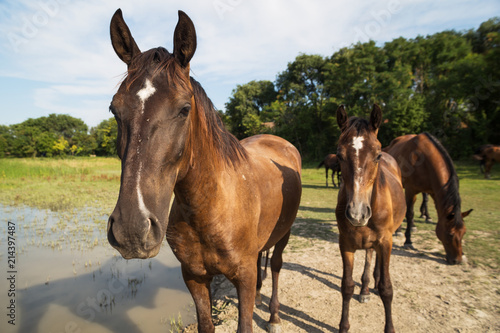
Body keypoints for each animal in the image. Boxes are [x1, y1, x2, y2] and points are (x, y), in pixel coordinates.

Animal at [106, 9, 300, 330]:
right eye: (114, 110)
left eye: (185, 109)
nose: (132, 230)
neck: (209, 208)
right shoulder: (194, 278)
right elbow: (206, 323)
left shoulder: (244, 278)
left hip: (284, 235)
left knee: (275, 265)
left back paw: (273, 316)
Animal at [334, 104, 404, 332]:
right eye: (339, 155)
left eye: (377, 155)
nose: (357, 213)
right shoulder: (345, 243)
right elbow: (346, 286)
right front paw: (343, 326)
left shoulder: (386, 240)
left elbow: (387, 289)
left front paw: (389, 328)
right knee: (369, 255)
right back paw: (364, 289)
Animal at [382, 132, 472, 264]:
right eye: (450, 234)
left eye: (464, 232)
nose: (457, 260)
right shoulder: (411, 190)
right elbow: (409, 213)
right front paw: (408, 241)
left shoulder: (432, 191)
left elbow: (426, 202)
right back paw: (399, 230)